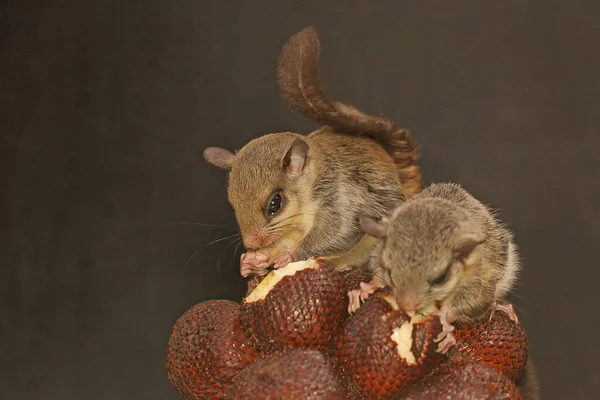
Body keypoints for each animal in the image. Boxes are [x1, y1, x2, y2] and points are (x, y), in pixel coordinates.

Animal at [204, 26, 420, 292]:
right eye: (232, 206)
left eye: (275, 204)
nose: (251, 243)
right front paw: (251, 261)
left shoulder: (341, 197)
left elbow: (341, 231)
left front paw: (288, 256)